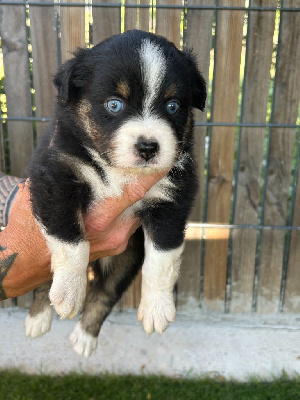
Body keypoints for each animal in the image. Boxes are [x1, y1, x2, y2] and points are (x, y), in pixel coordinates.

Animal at [24, 30, 206, 356]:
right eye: (114, 105)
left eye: (173, 106)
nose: (148, 147)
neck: (119, 172)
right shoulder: (54, 176)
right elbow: (71, 240)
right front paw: (69, 292)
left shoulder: (173, 199)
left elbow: (163, 257)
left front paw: (158, 309)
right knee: (45, 279)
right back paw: (39, 316)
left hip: (125, 258)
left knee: (105, 293)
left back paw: (85, 336)